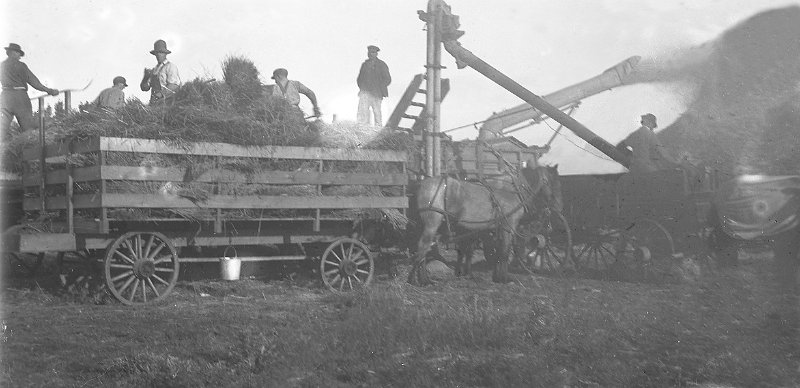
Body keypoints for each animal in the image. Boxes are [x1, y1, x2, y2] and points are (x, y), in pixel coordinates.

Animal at [406, 164, 564, 284]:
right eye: (553, 182)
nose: (559, 207)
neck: (512, 191)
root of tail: (420, 184)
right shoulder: (508, 226)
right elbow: (505, 252)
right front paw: (504, 278)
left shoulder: (496, 229)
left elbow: (498, 251)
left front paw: (496, 276)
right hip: (431, 224)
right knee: (423, 247)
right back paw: (418, 280)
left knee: (422, 249)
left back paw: (422, 278)